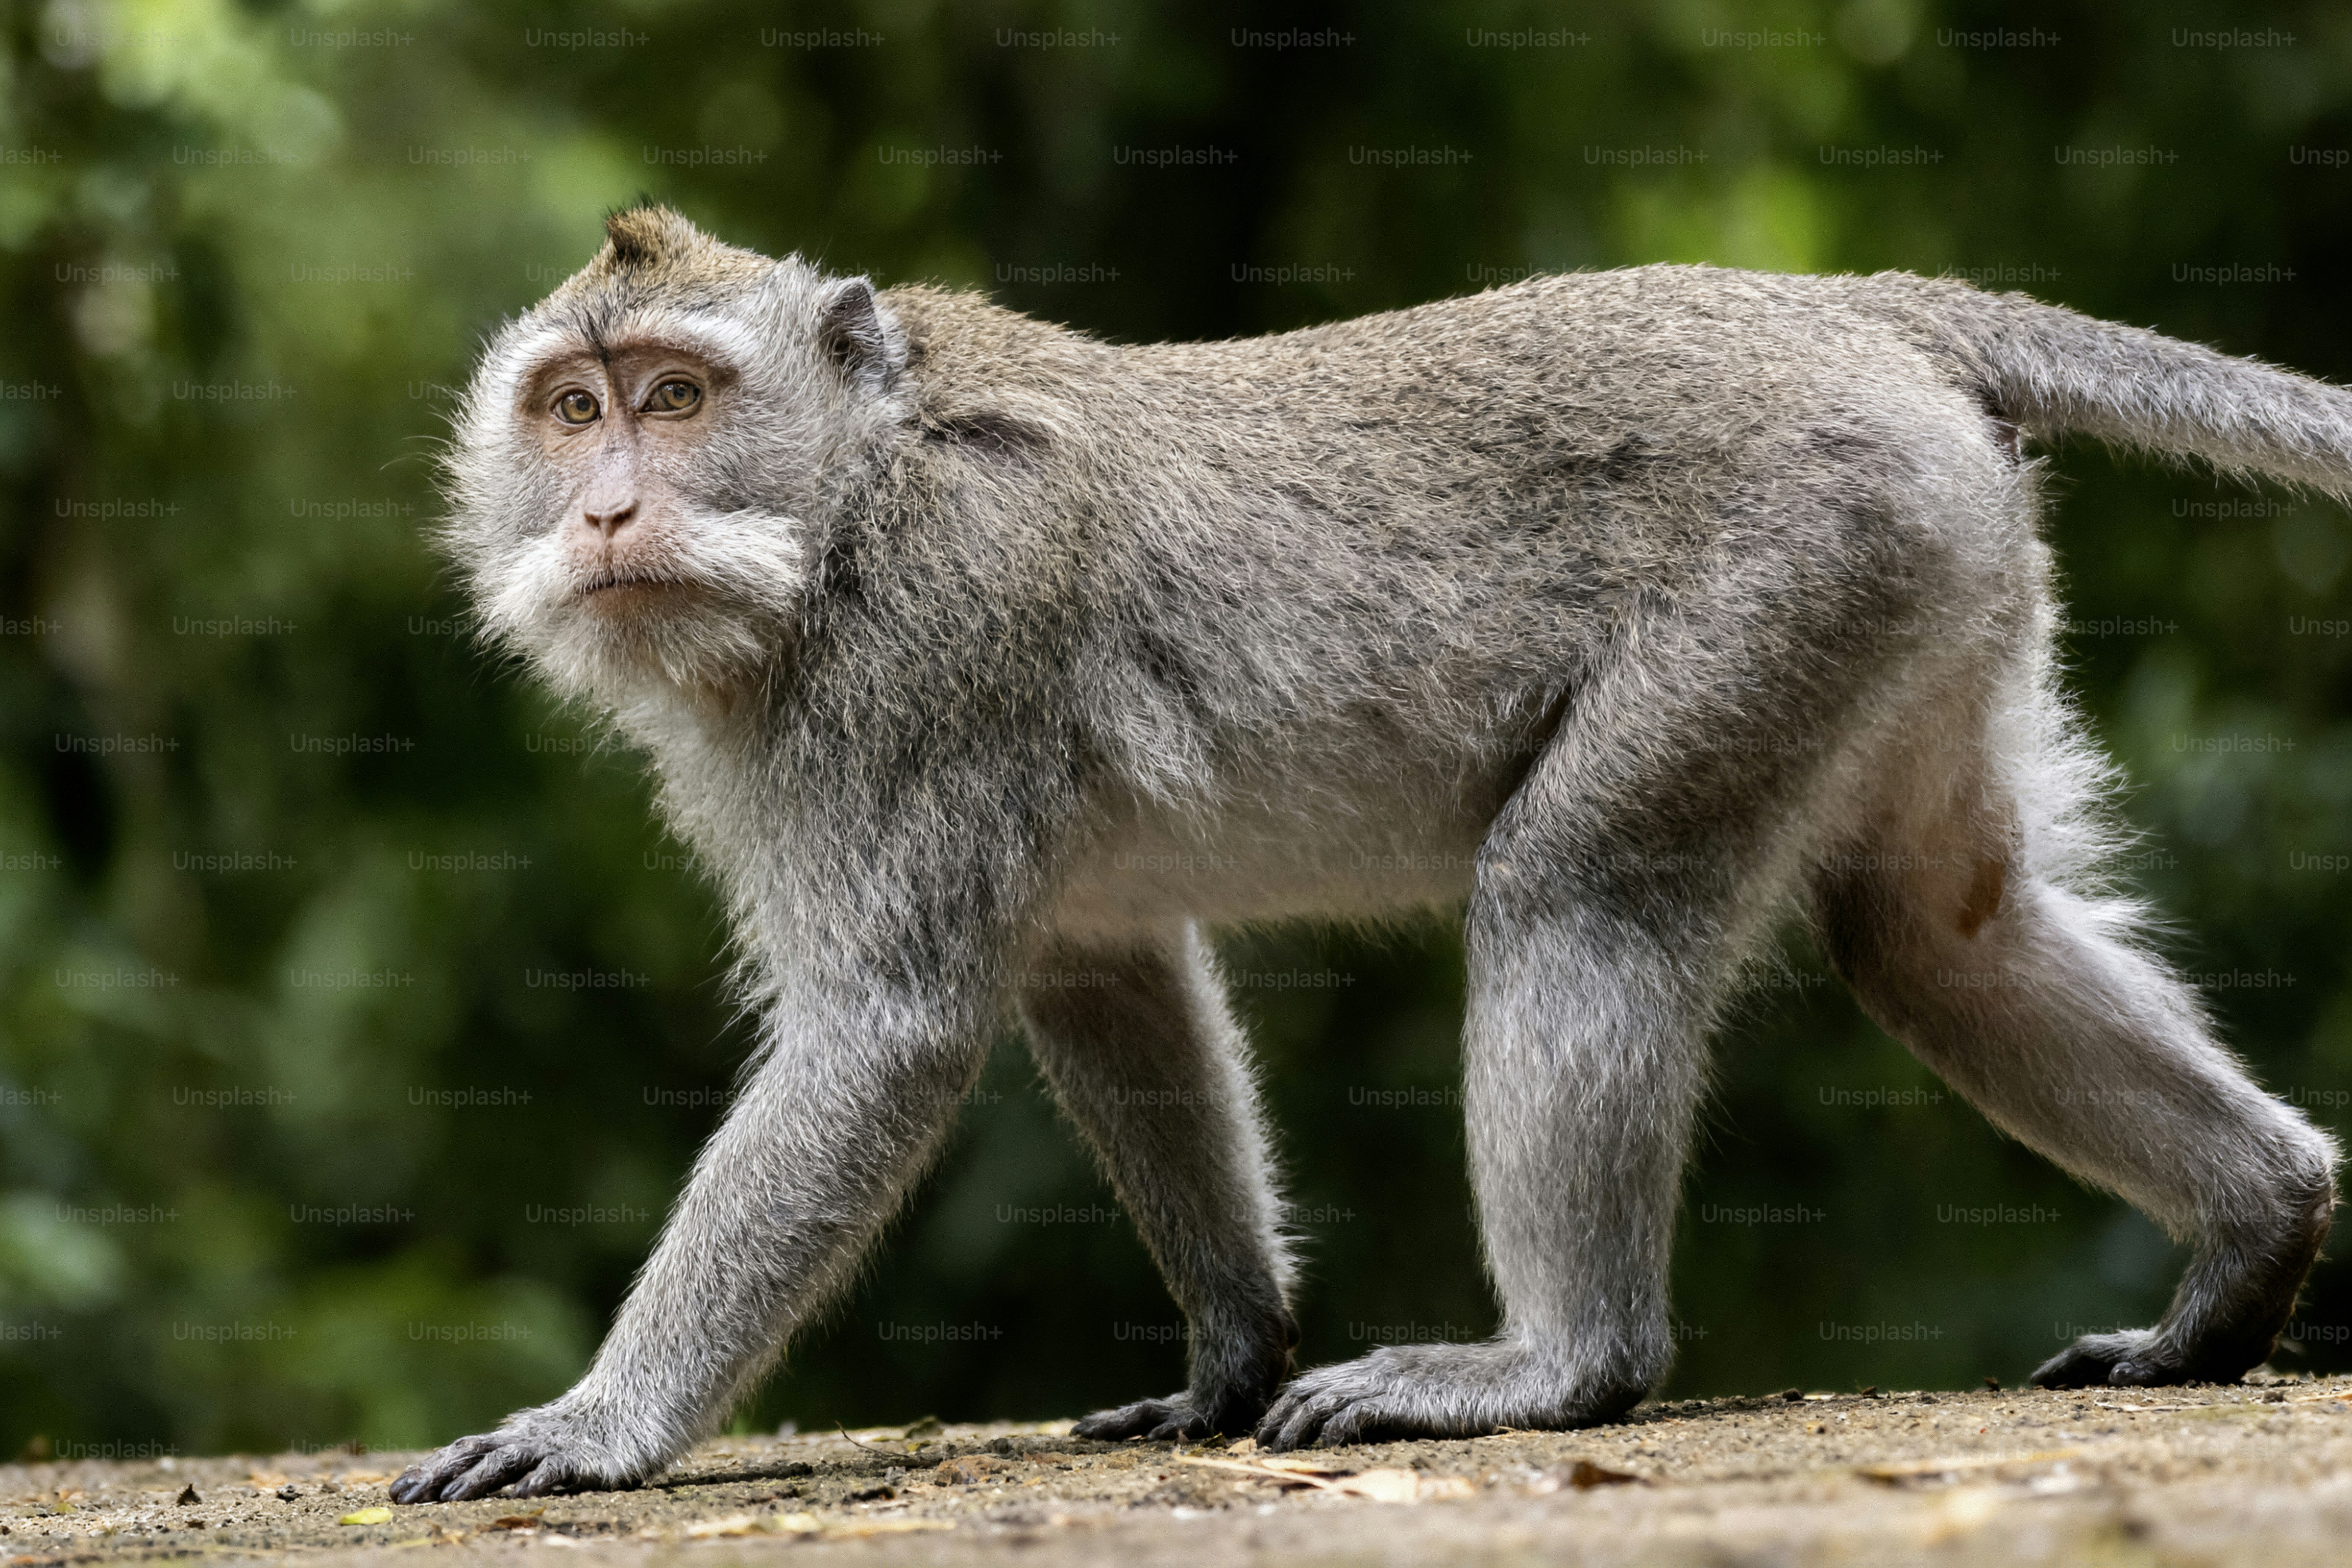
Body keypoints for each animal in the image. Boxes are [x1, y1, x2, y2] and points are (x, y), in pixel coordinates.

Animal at [393, 203, 2339, 1501]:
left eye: (674, 395)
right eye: (569, 410)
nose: (608, 509)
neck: (854, 494)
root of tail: (1852, 313)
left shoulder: (930, 657)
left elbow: (888, 1027)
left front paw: (600, 1422)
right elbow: (1105, 979)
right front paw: (1225, 1354)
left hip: (1794, 561)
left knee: (1579, 886)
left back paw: (1558, 1365)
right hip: (1921, 570)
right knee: (1934, 931)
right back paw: (2252, 1232)